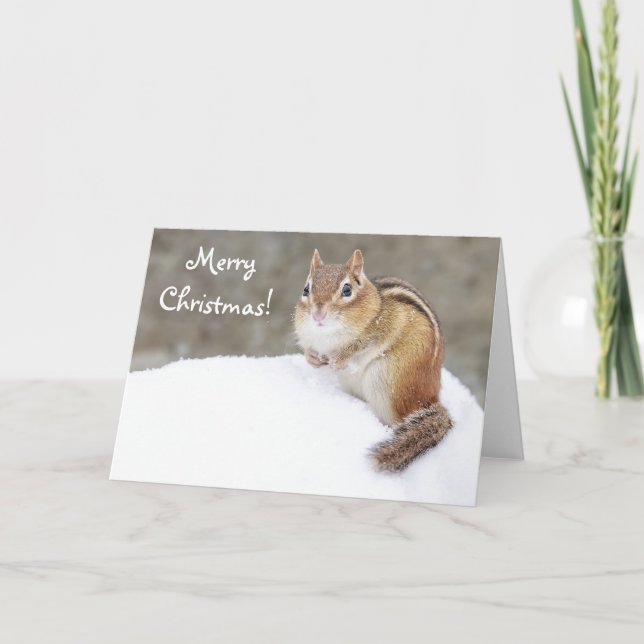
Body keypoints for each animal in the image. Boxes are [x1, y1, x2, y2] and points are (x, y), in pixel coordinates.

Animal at [294, 248, 453, 473]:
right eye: (306, 289)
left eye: (347, 290)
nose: (318, 315)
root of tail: (431, 399)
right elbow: (309, 349)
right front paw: (313, 359)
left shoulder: (385, 325)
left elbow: (360, 346)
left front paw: (338, 360)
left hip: (386, 380)